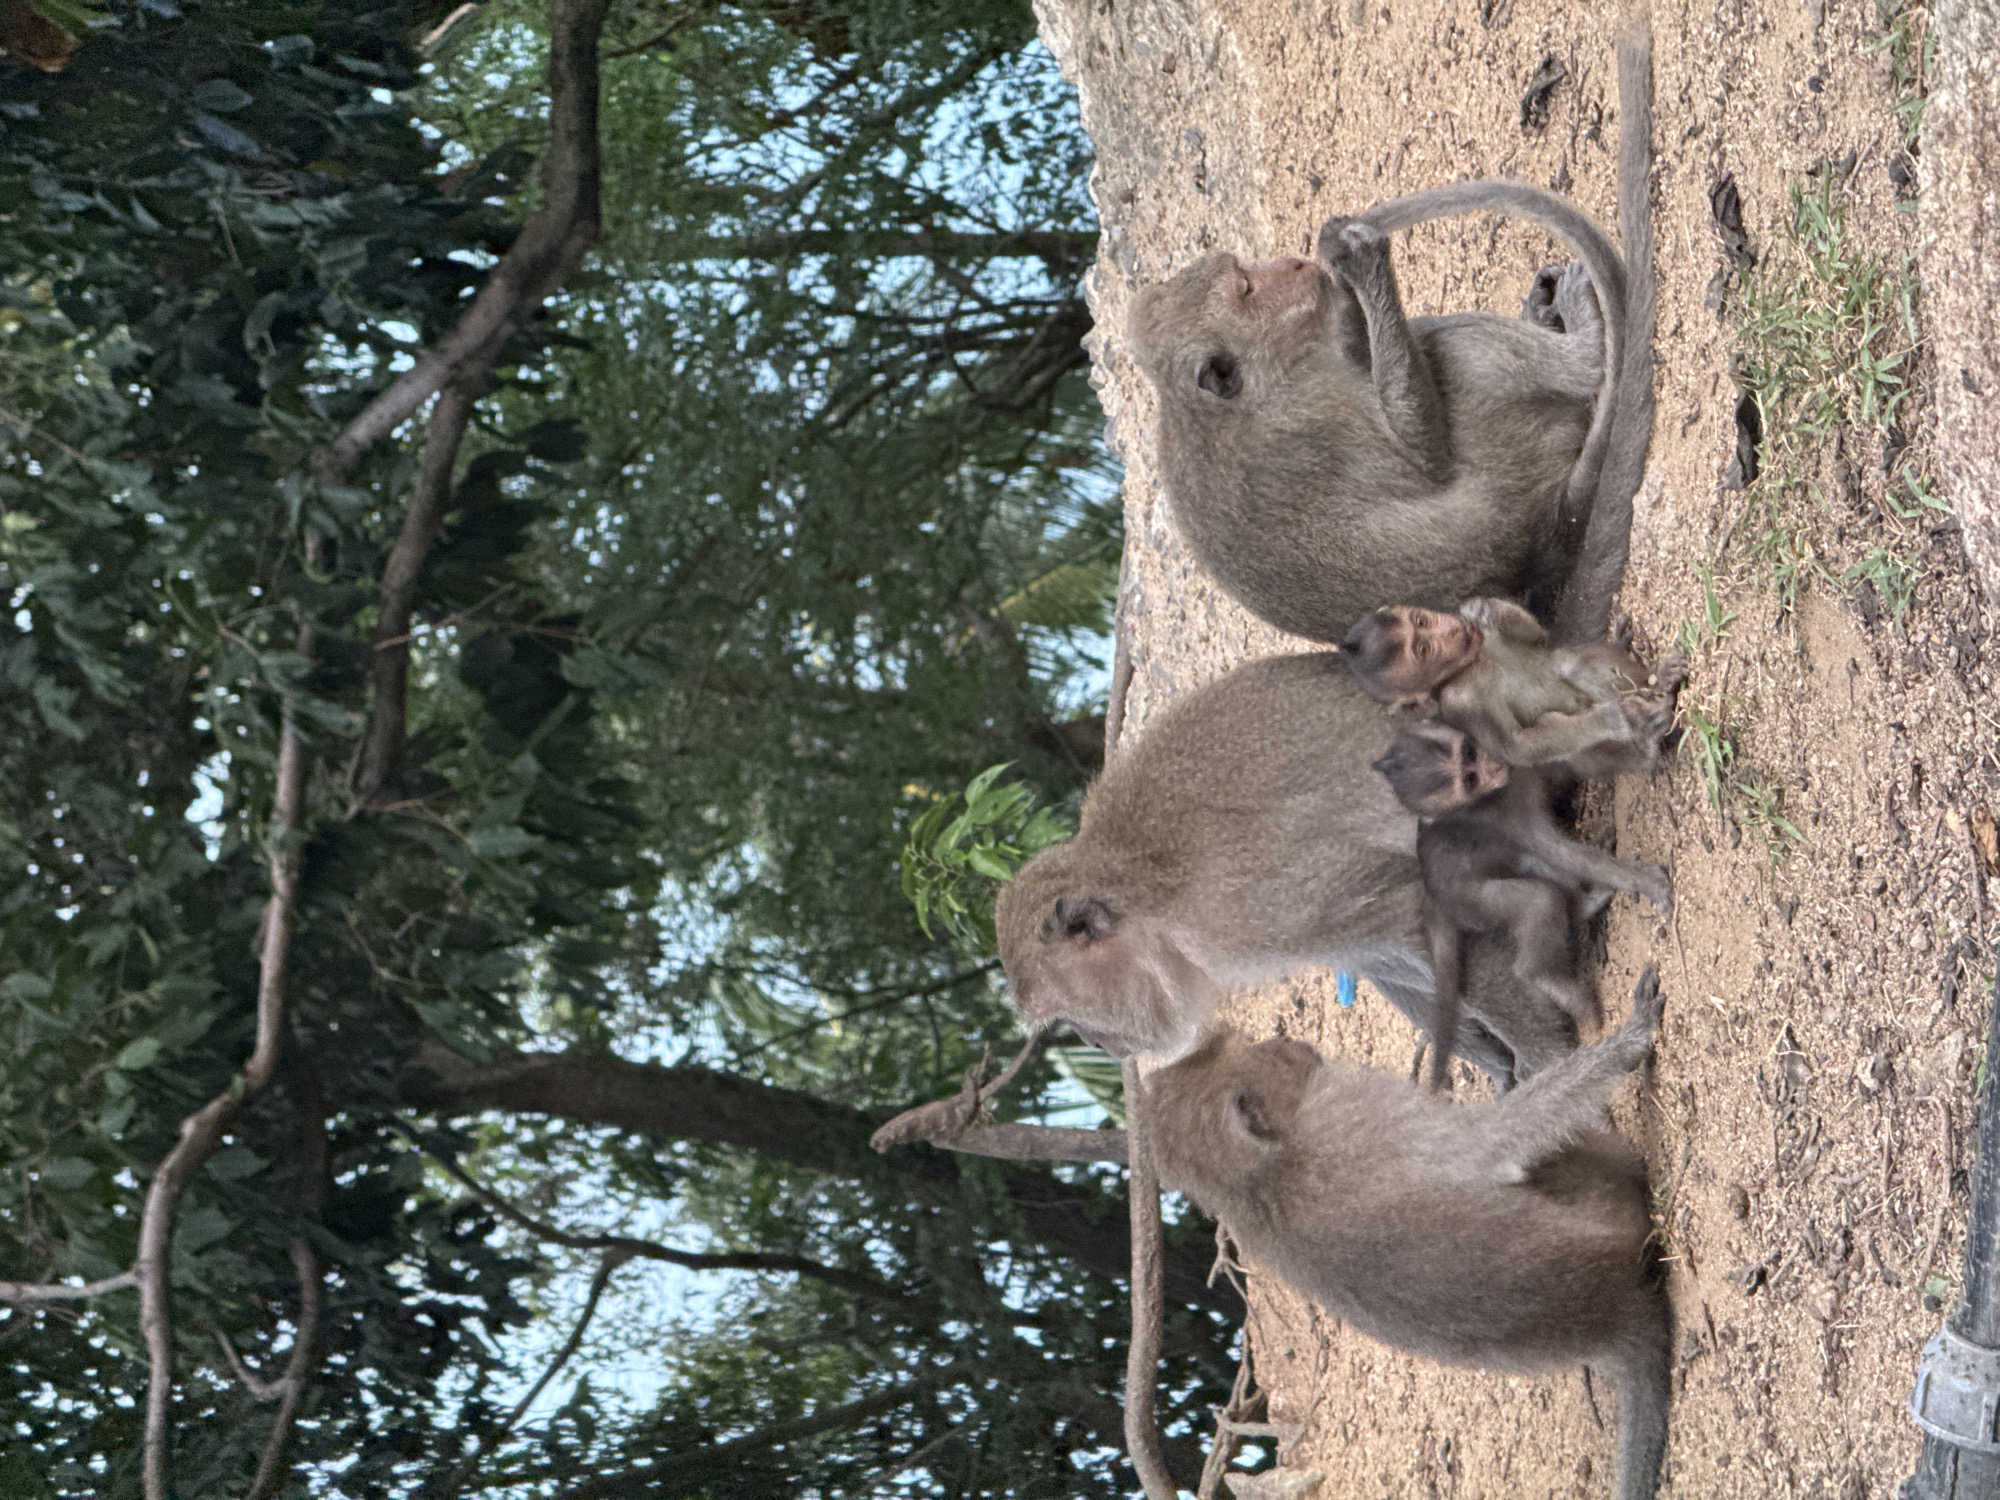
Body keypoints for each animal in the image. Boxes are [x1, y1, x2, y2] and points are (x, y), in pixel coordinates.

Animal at [997, 652, 1601, 1085]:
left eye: (1068, 1016)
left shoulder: (1246, 911)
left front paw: (1548, 1060)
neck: (1146, 900)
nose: (1096, 1043)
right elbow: (1381, 954)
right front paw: (1499, 1068)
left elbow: (1417, 912)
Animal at [1124, 18, 1654, 649]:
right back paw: (1585, 344)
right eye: (1246, 289)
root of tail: (1548, 539)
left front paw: (1344, 284)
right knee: (1459, 352)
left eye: (1243, 273)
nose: (1292, 264)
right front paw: (1359, 259)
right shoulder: (1308, 423)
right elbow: (1429, 457)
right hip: (1519, 458)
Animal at [1145, 969, 1673, 1500]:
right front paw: (1630, 1040)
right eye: (1260, 1054)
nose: (1284, 1041)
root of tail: (1616, 1317)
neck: (1253, 1185)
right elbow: (1495, 1146)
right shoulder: (1365, 1114)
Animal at [1341, 596, 1687, 774]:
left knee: (1566, 662)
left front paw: (1478, 608)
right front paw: (1616, 717)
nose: (1452, 631)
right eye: (1424, 650)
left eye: (1422, 621)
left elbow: (1539, 638)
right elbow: (1519, 746)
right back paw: (1649, 729)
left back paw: (1657, 677)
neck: (1472, 664)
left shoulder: (1486, 638)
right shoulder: (1461, 702)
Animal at [1372, 720, 1672, 1090]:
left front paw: (1648, 747)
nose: (1492, 765)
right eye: (1470, 780)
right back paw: (1545, 975)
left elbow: (1576, 765)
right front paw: (1646, 882)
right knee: (1537, 901)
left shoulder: (1521, 769)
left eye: (1469, 753)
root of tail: (1433, 899)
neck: (1495, 794)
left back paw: (1583, 906)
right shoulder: (1508, 816)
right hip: (1475, 903)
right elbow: (1560, 851)